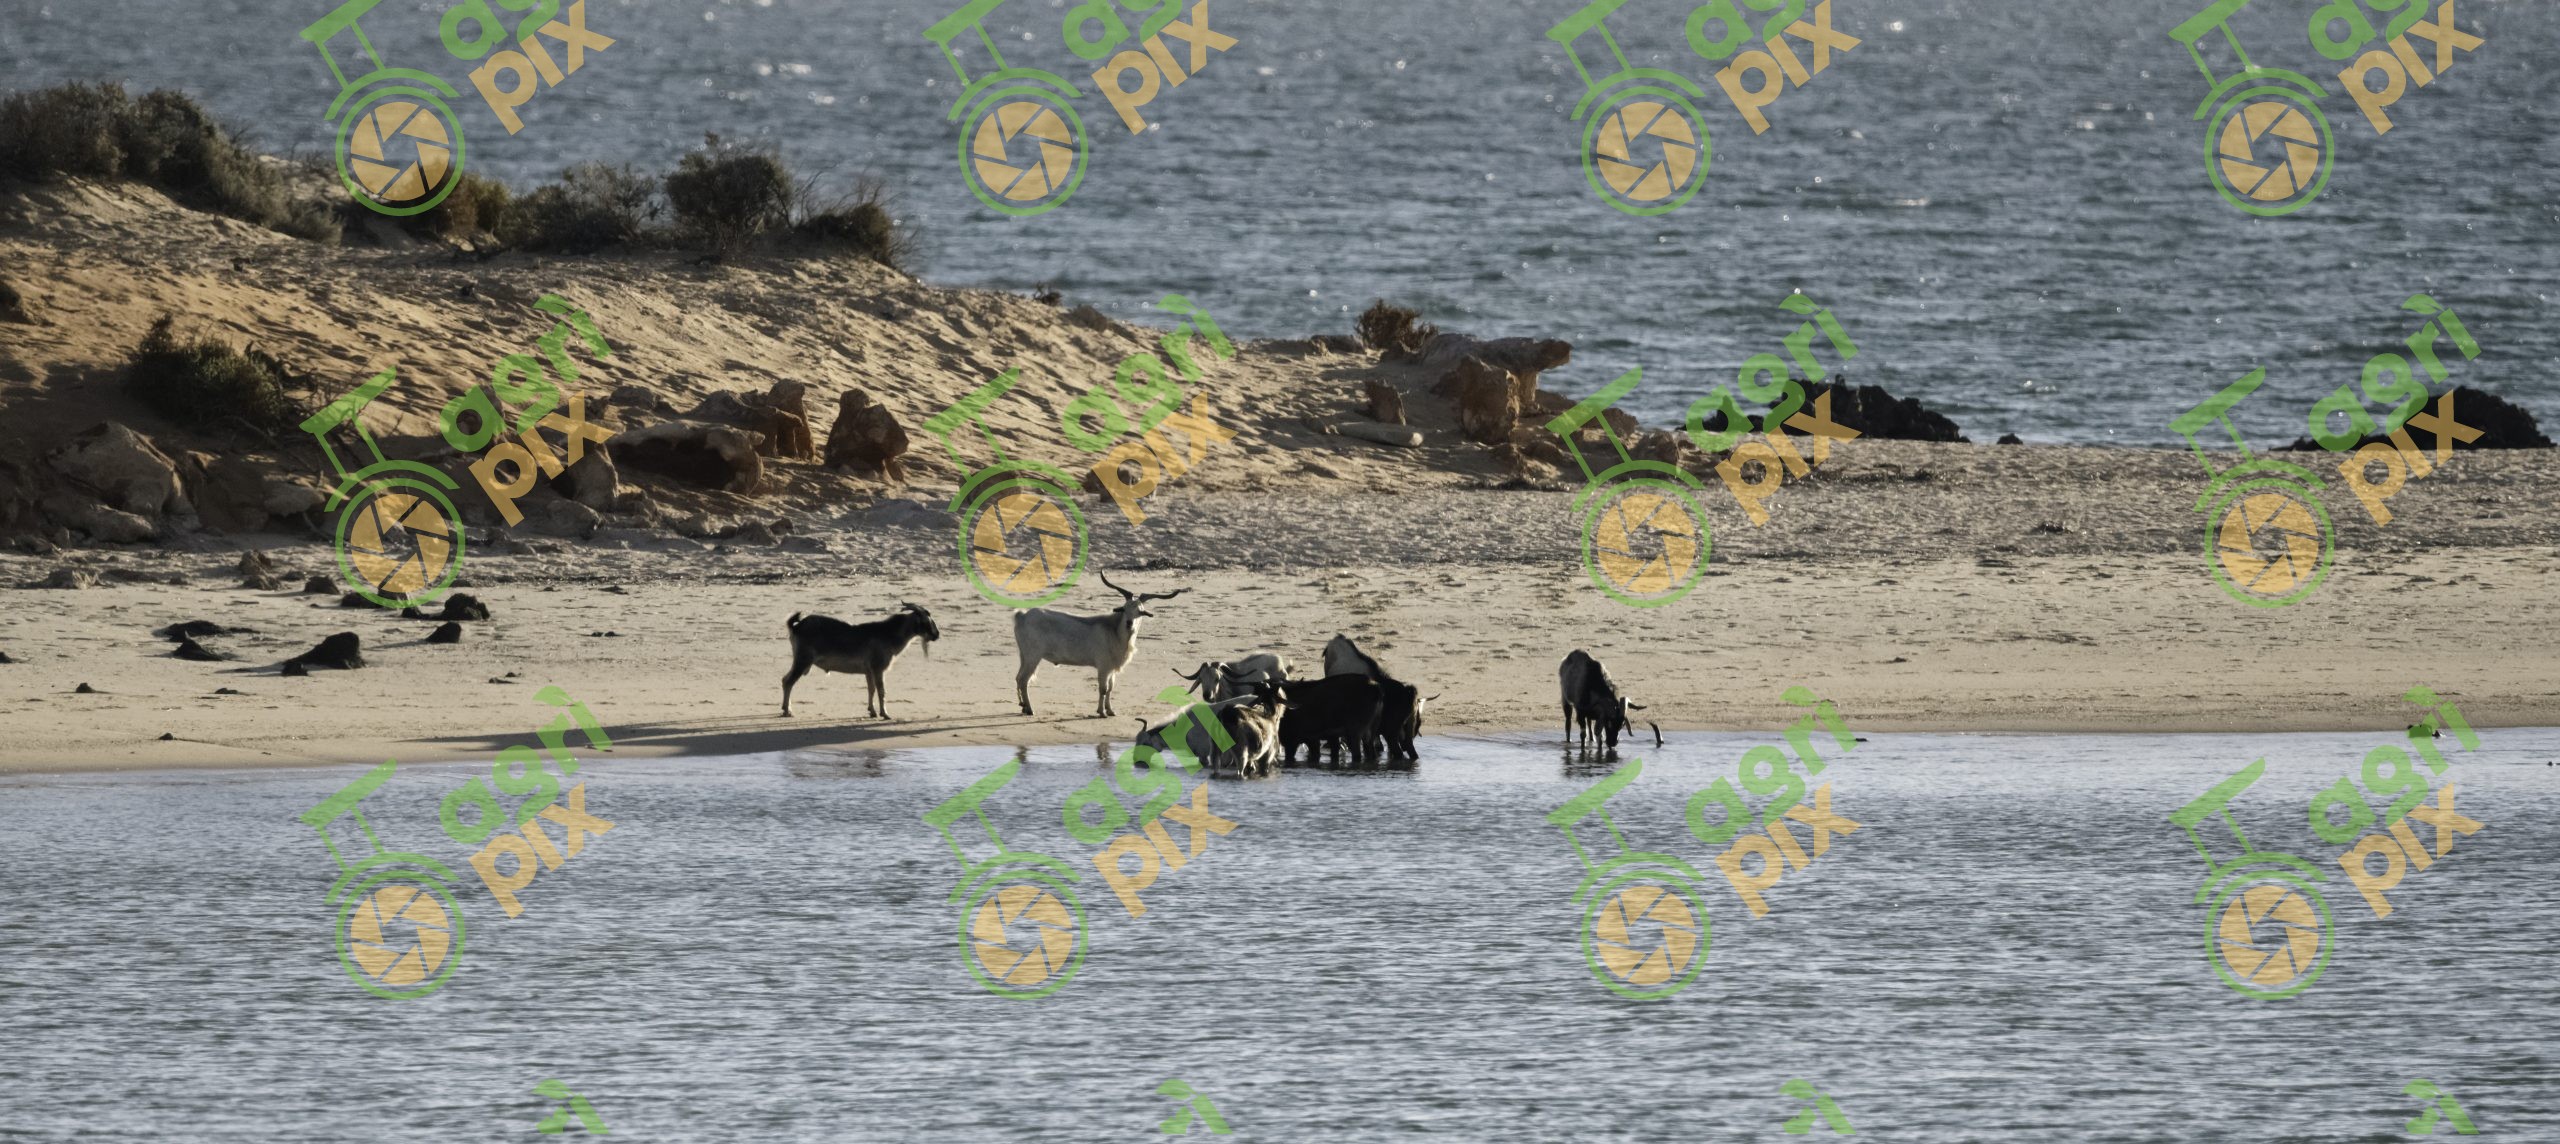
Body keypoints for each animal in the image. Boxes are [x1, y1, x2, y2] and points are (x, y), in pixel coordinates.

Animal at [781, 604, 940, 718]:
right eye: (926, 622)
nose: (936, 635)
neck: (888, 634)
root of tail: (796, 626)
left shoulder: (868, 671)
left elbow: (871, 689)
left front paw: (872, 711)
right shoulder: (878, 668)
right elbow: (881, 690)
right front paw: (885, 714)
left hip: (799, 660)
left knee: (784, 679)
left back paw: (784, 708)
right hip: (803, 660)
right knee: (789, 682)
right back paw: (787, 711)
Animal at [1012, 574, 1186, 717]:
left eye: (1140, 611)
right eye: (1124, 609)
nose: (1129, 623)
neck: (1114, 632)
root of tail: (1022, 615)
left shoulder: (1111, 669)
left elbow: (1110, 688)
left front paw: (1110, 711)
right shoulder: (1103, 667)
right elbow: (1103, 689)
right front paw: (1101, 712)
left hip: (1024, 655)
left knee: (1018, 677)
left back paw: (1023, 706)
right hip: (1033, 656)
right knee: (1024, 679)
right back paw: (1030, 709)